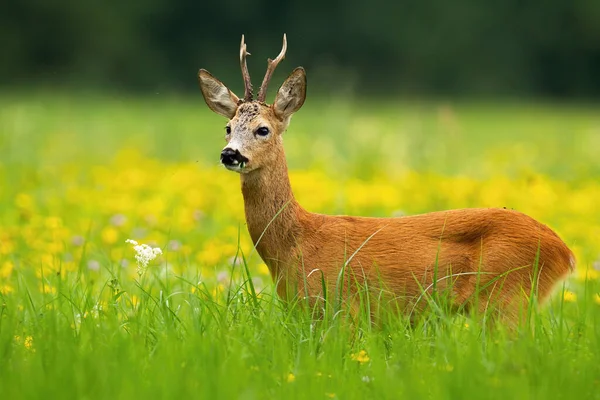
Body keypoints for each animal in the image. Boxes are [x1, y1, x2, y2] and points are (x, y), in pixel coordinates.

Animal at [196, 33, 572, 322]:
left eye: (263, 129)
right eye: (228, 127)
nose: (230, 154)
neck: (295, 242)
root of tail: (565, 252)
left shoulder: (341, 308)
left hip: (506, 300)